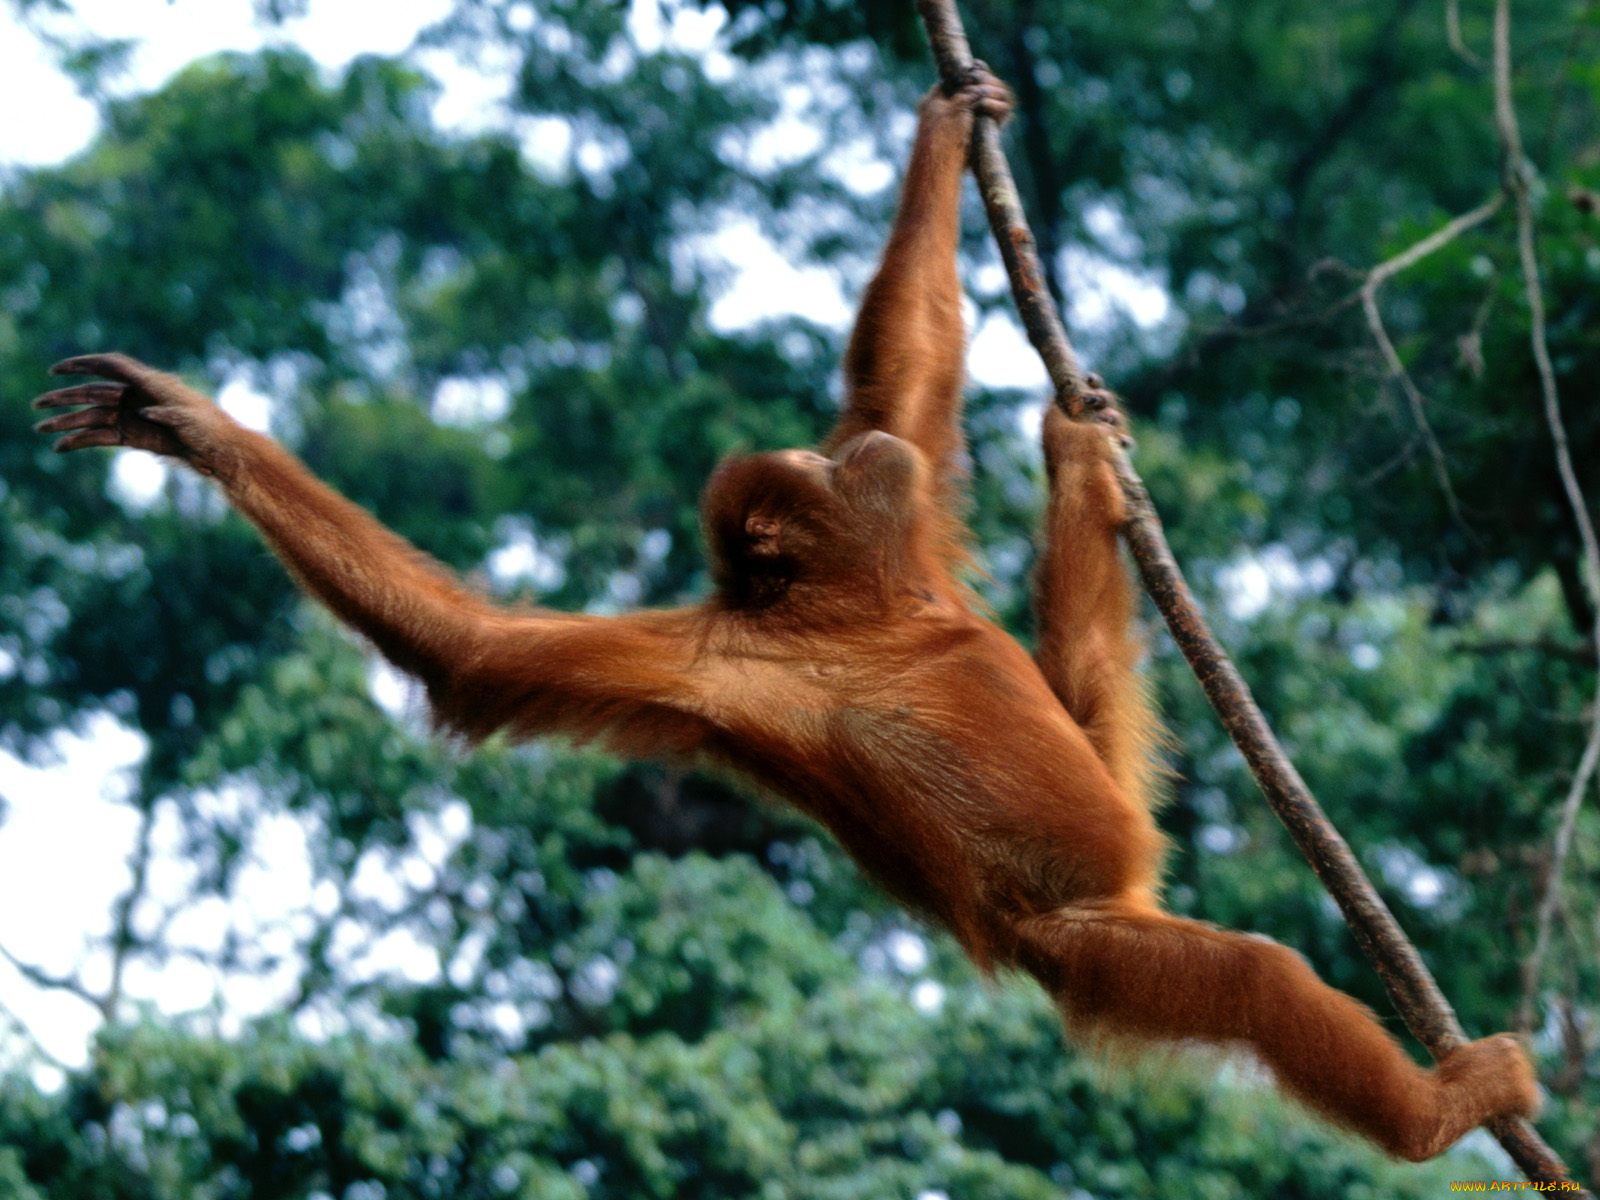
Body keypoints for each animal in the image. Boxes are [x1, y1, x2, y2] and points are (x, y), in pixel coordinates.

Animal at [30, 65, 1537, 1160]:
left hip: (1109, 801)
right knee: (1256, 983)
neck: (855, 618)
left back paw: (1078, 465)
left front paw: (943, 133)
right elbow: (480, 654)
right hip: (1090, 950)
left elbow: (907, 384)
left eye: (807, 464)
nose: (824, 457)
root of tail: (1117, 889)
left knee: (1084, 673)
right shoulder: (715, 658)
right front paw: (196, 432)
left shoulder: (907, 550)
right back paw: (1434, 1115)